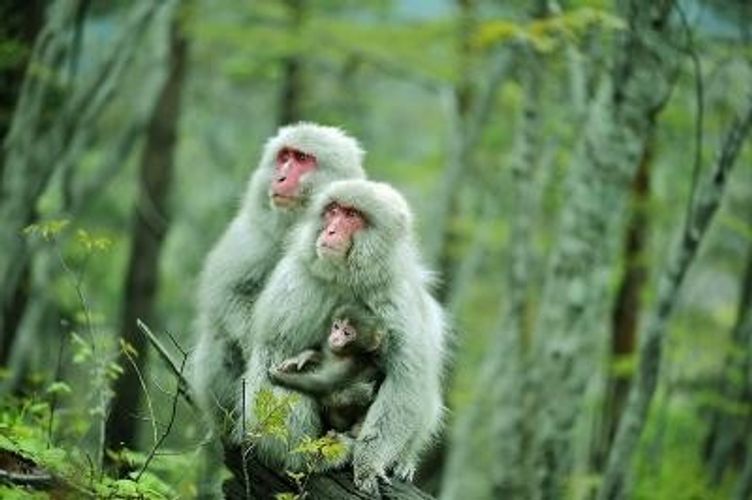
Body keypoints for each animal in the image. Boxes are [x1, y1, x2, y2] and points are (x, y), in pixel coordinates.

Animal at [268, 300, 388, 438]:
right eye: (336, 326)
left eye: (347, 333)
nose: (335, 337)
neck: (344, 354)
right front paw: (303, 357)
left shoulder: (348, 365)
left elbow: (321, 383)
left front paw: (279, 376)